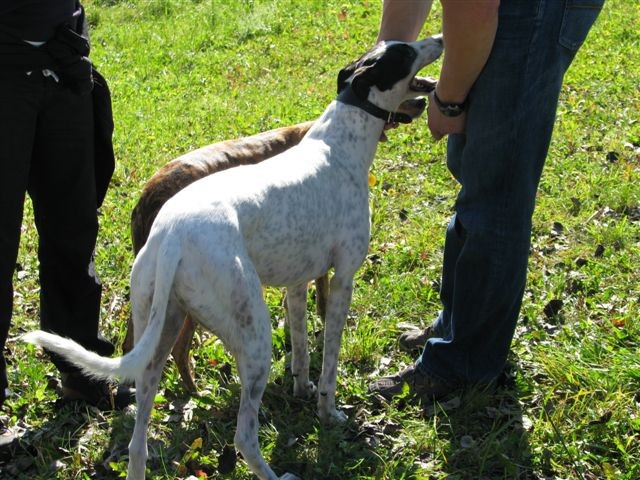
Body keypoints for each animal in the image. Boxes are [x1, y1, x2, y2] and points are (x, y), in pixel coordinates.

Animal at [26, 35, 444, 478]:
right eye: (403, 52)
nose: (439, 39)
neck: (339, 141)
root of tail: (172, 236)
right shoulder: (343, 279)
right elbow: (329, 361)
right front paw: (328, 412)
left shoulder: (298, 283)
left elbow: (300, 349)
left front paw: (301, 388)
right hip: (253, 335)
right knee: (244, 436)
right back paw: (278, 472)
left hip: (158, 331)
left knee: (138, 442)